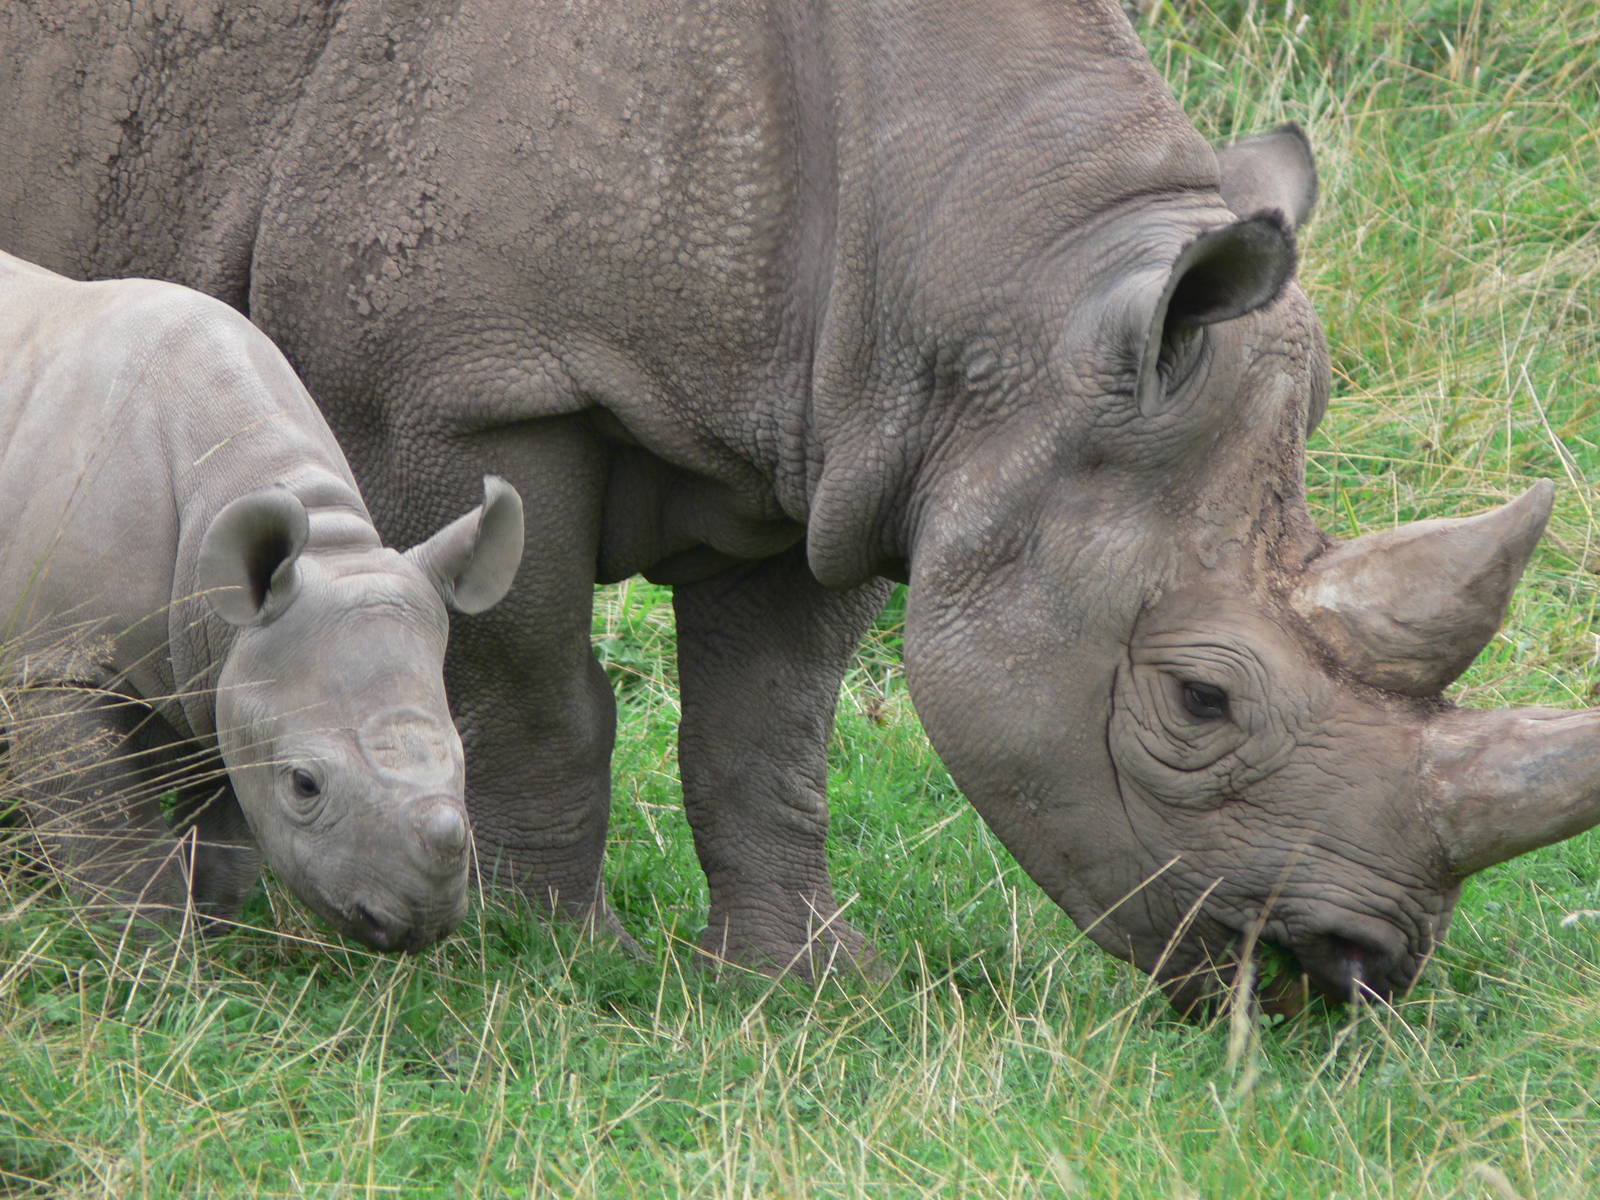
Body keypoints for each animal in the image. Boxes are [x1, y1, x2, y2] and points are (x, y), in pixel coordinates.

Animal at [0, 250, 525, 951]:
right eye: (305, 784)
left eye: (463, 759)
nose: (419, 925)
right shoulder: (60, 664)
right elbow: (119, 846)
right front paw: (155, 955)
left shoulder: (227, 665)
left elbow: (230, 840)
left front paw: (214, 941)